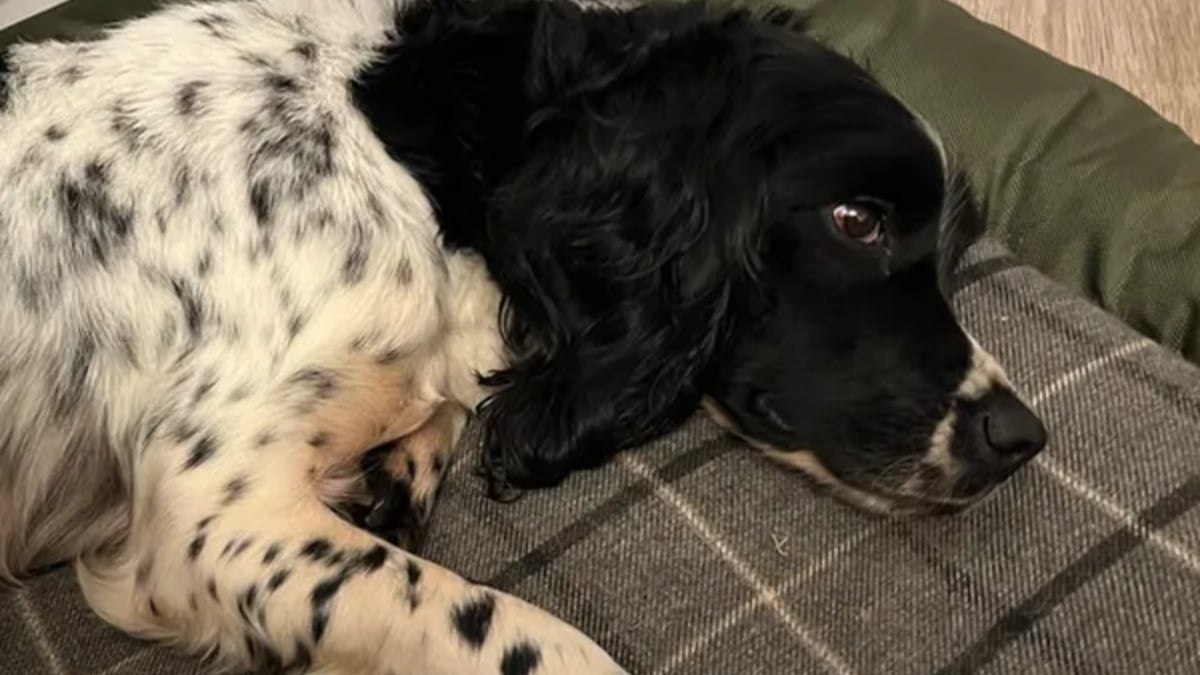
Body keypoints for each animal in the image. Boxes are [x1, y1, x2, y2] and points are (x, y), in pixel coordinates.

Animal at [0, 0, 1046, 667]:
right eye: (855, 219)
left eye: (953, 245)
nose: (1020, 436)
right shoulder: (209, 513)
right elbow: (514, 633)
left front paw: (402, 461)